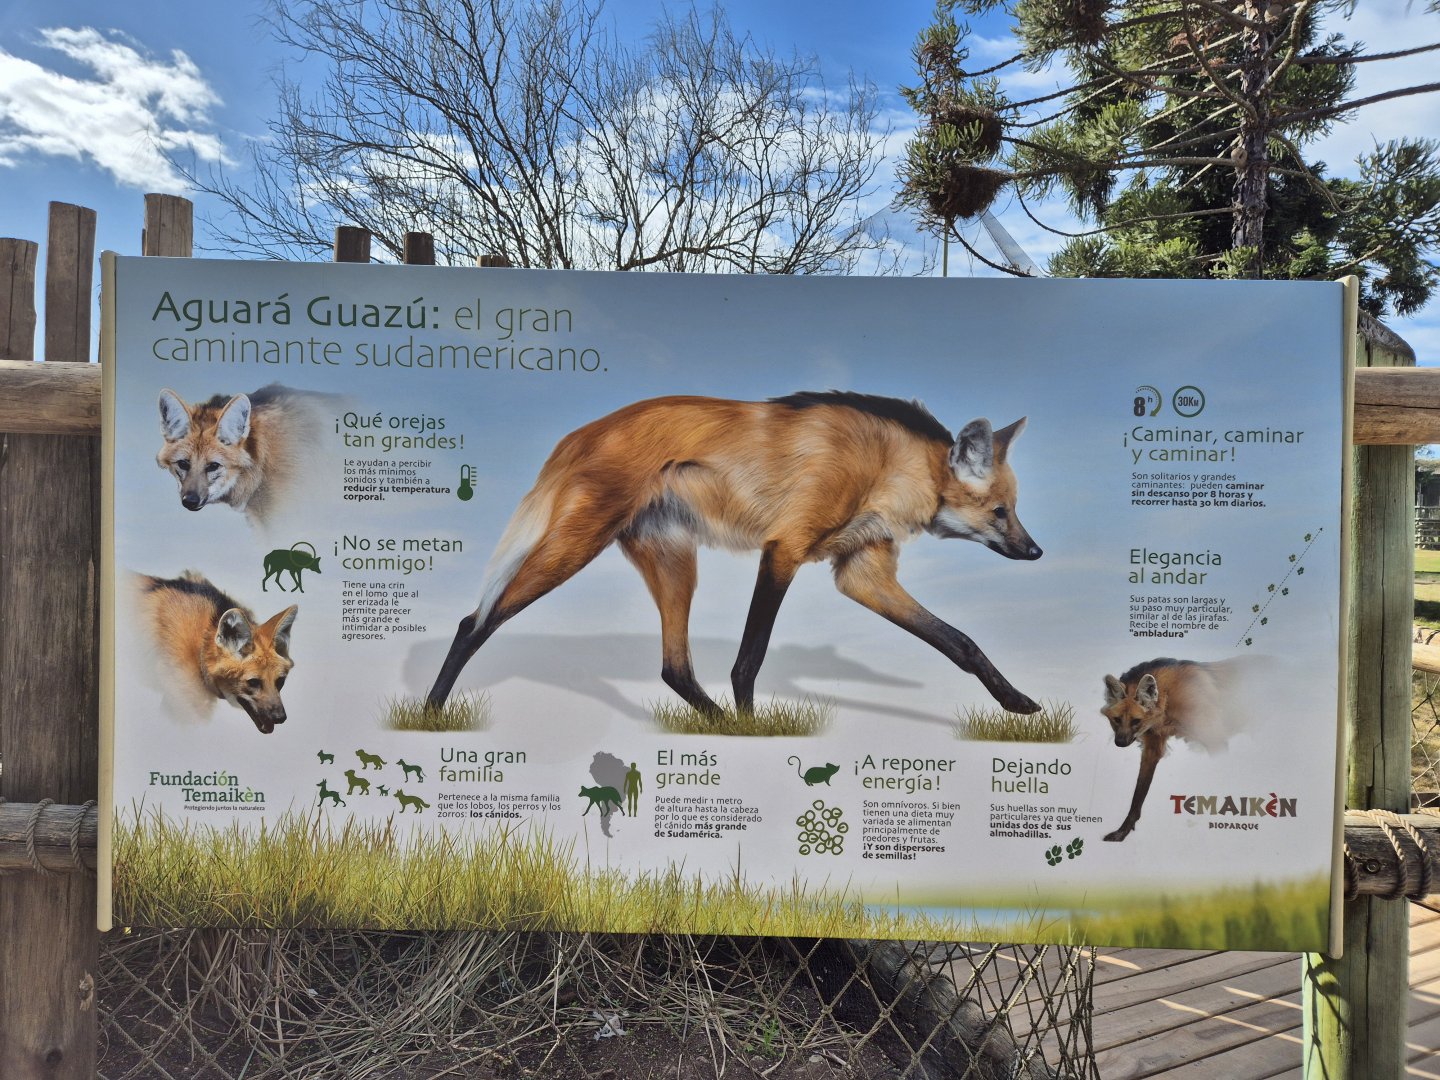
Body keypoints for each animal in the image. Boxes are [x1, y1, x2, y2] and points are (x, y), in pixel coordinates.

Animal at [426, 391, 1041, 721]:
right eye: (1000, 512)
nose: (1035, 550)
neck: (886, 468)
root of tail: (580, 433)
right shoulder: (785, 550)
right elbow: (751, 657)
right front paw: (755, 731)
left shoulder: (861, 574)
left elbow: (961, 643)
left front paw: (1018, 703)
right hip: (572, 548)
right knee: (473, 622)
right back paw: (430, 713)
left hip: (677, 564)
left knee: (674, 668)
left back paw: (717, 724)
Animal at [1101, 657, 1244, 842]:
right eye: (1117, 720)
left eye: (1135, 721)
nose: (1120, 742)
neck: (1167, 703)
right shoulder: (1153, 744)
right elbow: (1138, 795)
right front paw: (1122, 831)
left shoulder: (1214, 738)